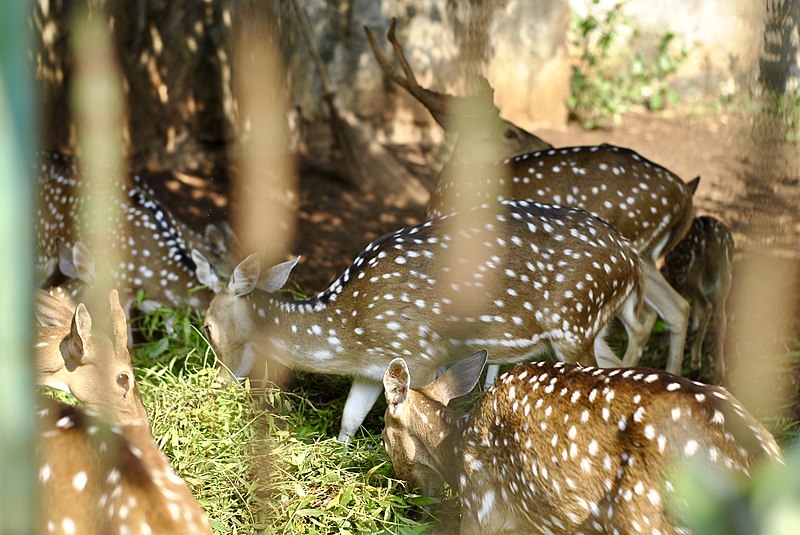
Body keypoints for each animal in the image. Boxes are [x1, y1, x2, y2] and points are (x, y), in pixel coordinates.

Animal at [197, 199, 648, 442]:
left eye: (207, 325)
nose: (215, 385)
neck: (348, 331)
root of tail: (632, 260)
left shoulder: (422, 353)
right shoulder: (370, 368)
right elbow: (349, 417)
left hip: (575, 320)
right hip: (592, 326)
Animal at [660, 216, 736, 384]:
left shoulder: (673, 273)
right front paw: (694, 324)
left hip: (690, 271)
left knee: (707, 306)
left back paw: (696, 364)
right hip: (725, 272)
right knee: (721, 316)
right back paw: (719, 373)